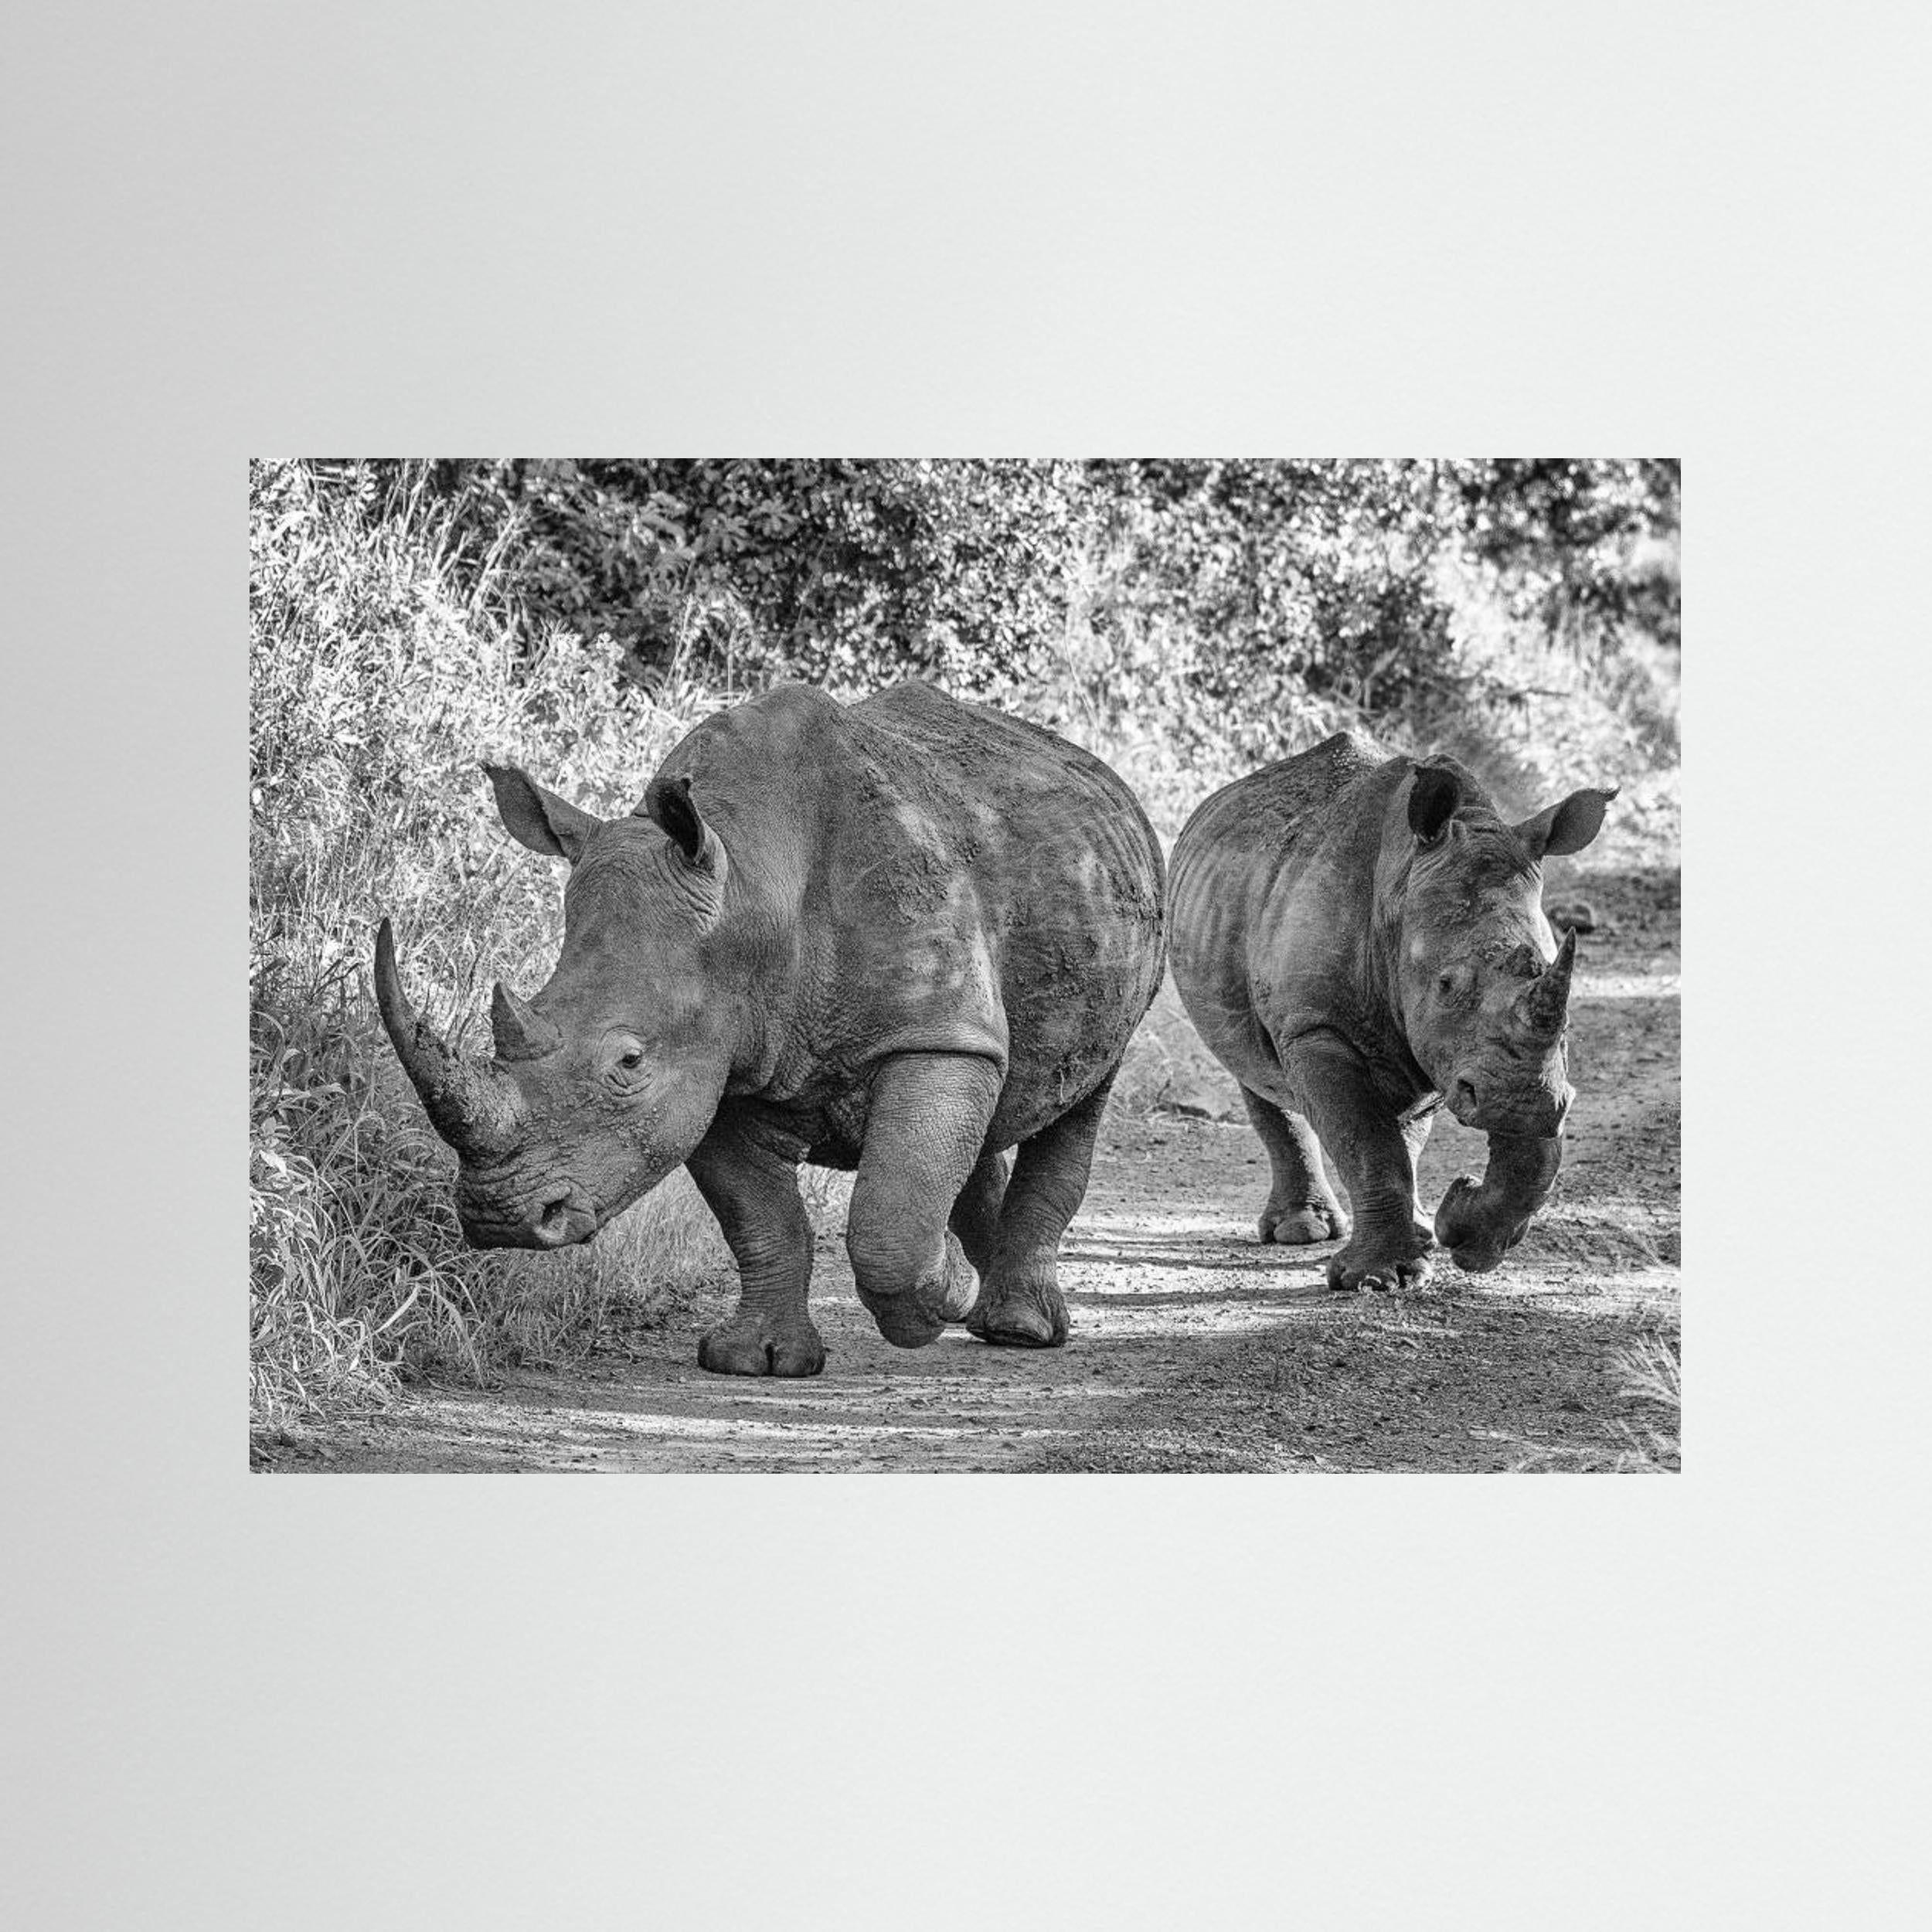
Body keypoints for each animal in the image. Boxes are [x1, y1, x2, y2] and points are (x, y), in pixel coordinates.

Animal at [374, 681, 1165, 1374]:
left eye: (628, 1063)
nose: (499, 1216)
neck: (752, 888)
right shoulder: (719, 1058)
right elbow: (760, 1220)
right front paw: (758, 1361)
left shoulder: (930, 1030)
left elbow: (890, 1222)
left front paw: (940, 1294)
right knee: (998, 1096)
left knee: (1080, 1095)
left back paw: (1017, 1328)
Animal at [1167, 732, 1614, 1292]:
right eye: (1446, 985)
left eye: (1553, 982)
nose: (1523, 1102)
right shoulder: (1315, 1026)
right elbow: (1365, 1142)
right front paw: (1379, 1279)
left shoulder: (1470, 1054)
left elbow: (1523, 1160)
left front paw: (1461, 1231)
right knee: (1254, 1069)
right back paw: (1302, 1232)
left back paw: (1418, 1227)